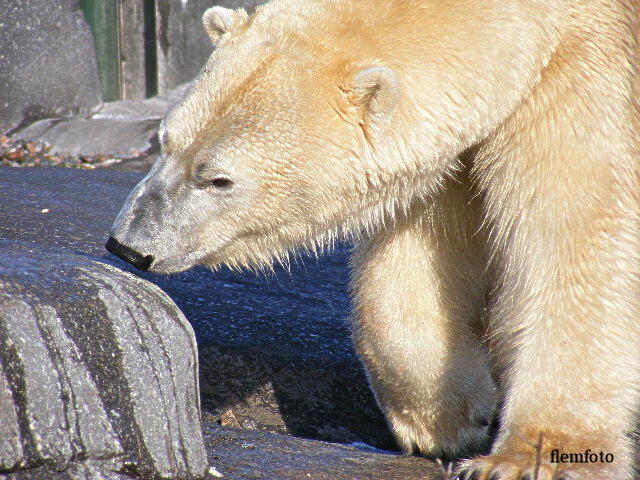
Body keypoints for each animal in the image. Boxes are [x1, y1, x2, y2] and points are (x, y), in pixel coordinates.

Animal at [106, 1, 640, 478]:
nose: (128, 245)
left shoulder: (586, 74)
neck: (539, 16)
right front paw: (449, 418)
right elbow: (417, 253)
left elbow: (577, 242)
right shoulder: (448, 157)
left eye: (219, 179)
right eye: (166, 141)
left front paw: (527, 460)